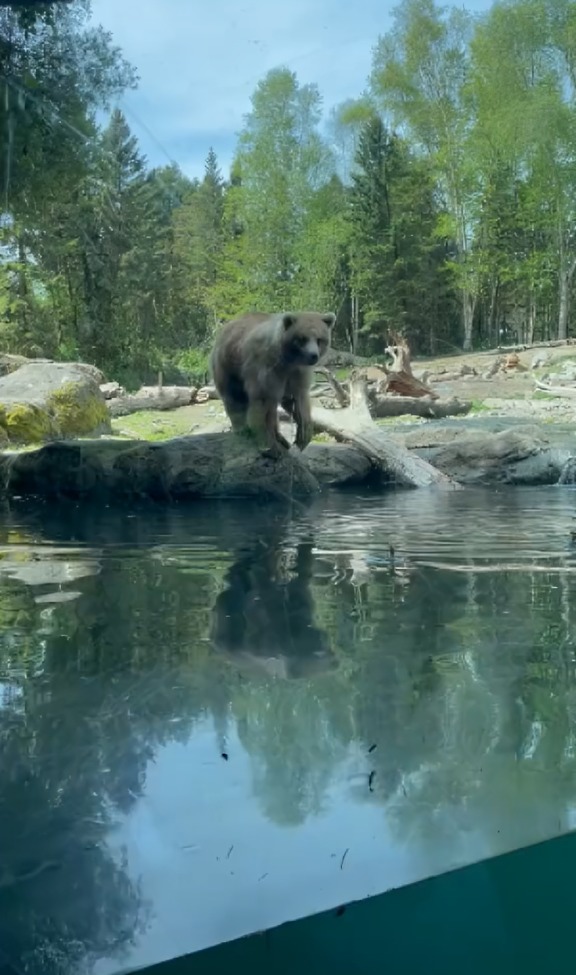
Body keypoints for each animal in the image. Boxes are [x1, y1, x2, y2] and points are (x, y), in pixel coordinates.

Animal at [209, 310, 336, 456]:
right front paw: (268, 445)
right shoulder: (266, 368)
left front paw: (303, 436)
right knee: (234, 397)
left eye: (320, 339)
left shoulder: (297, 373)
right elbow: (262, 402)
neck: (288, 361)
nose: (313, 356)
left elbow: (298, 398)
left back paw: (281, 438)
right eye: (302, 339)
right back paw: (243, 429)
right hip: (229, 364)